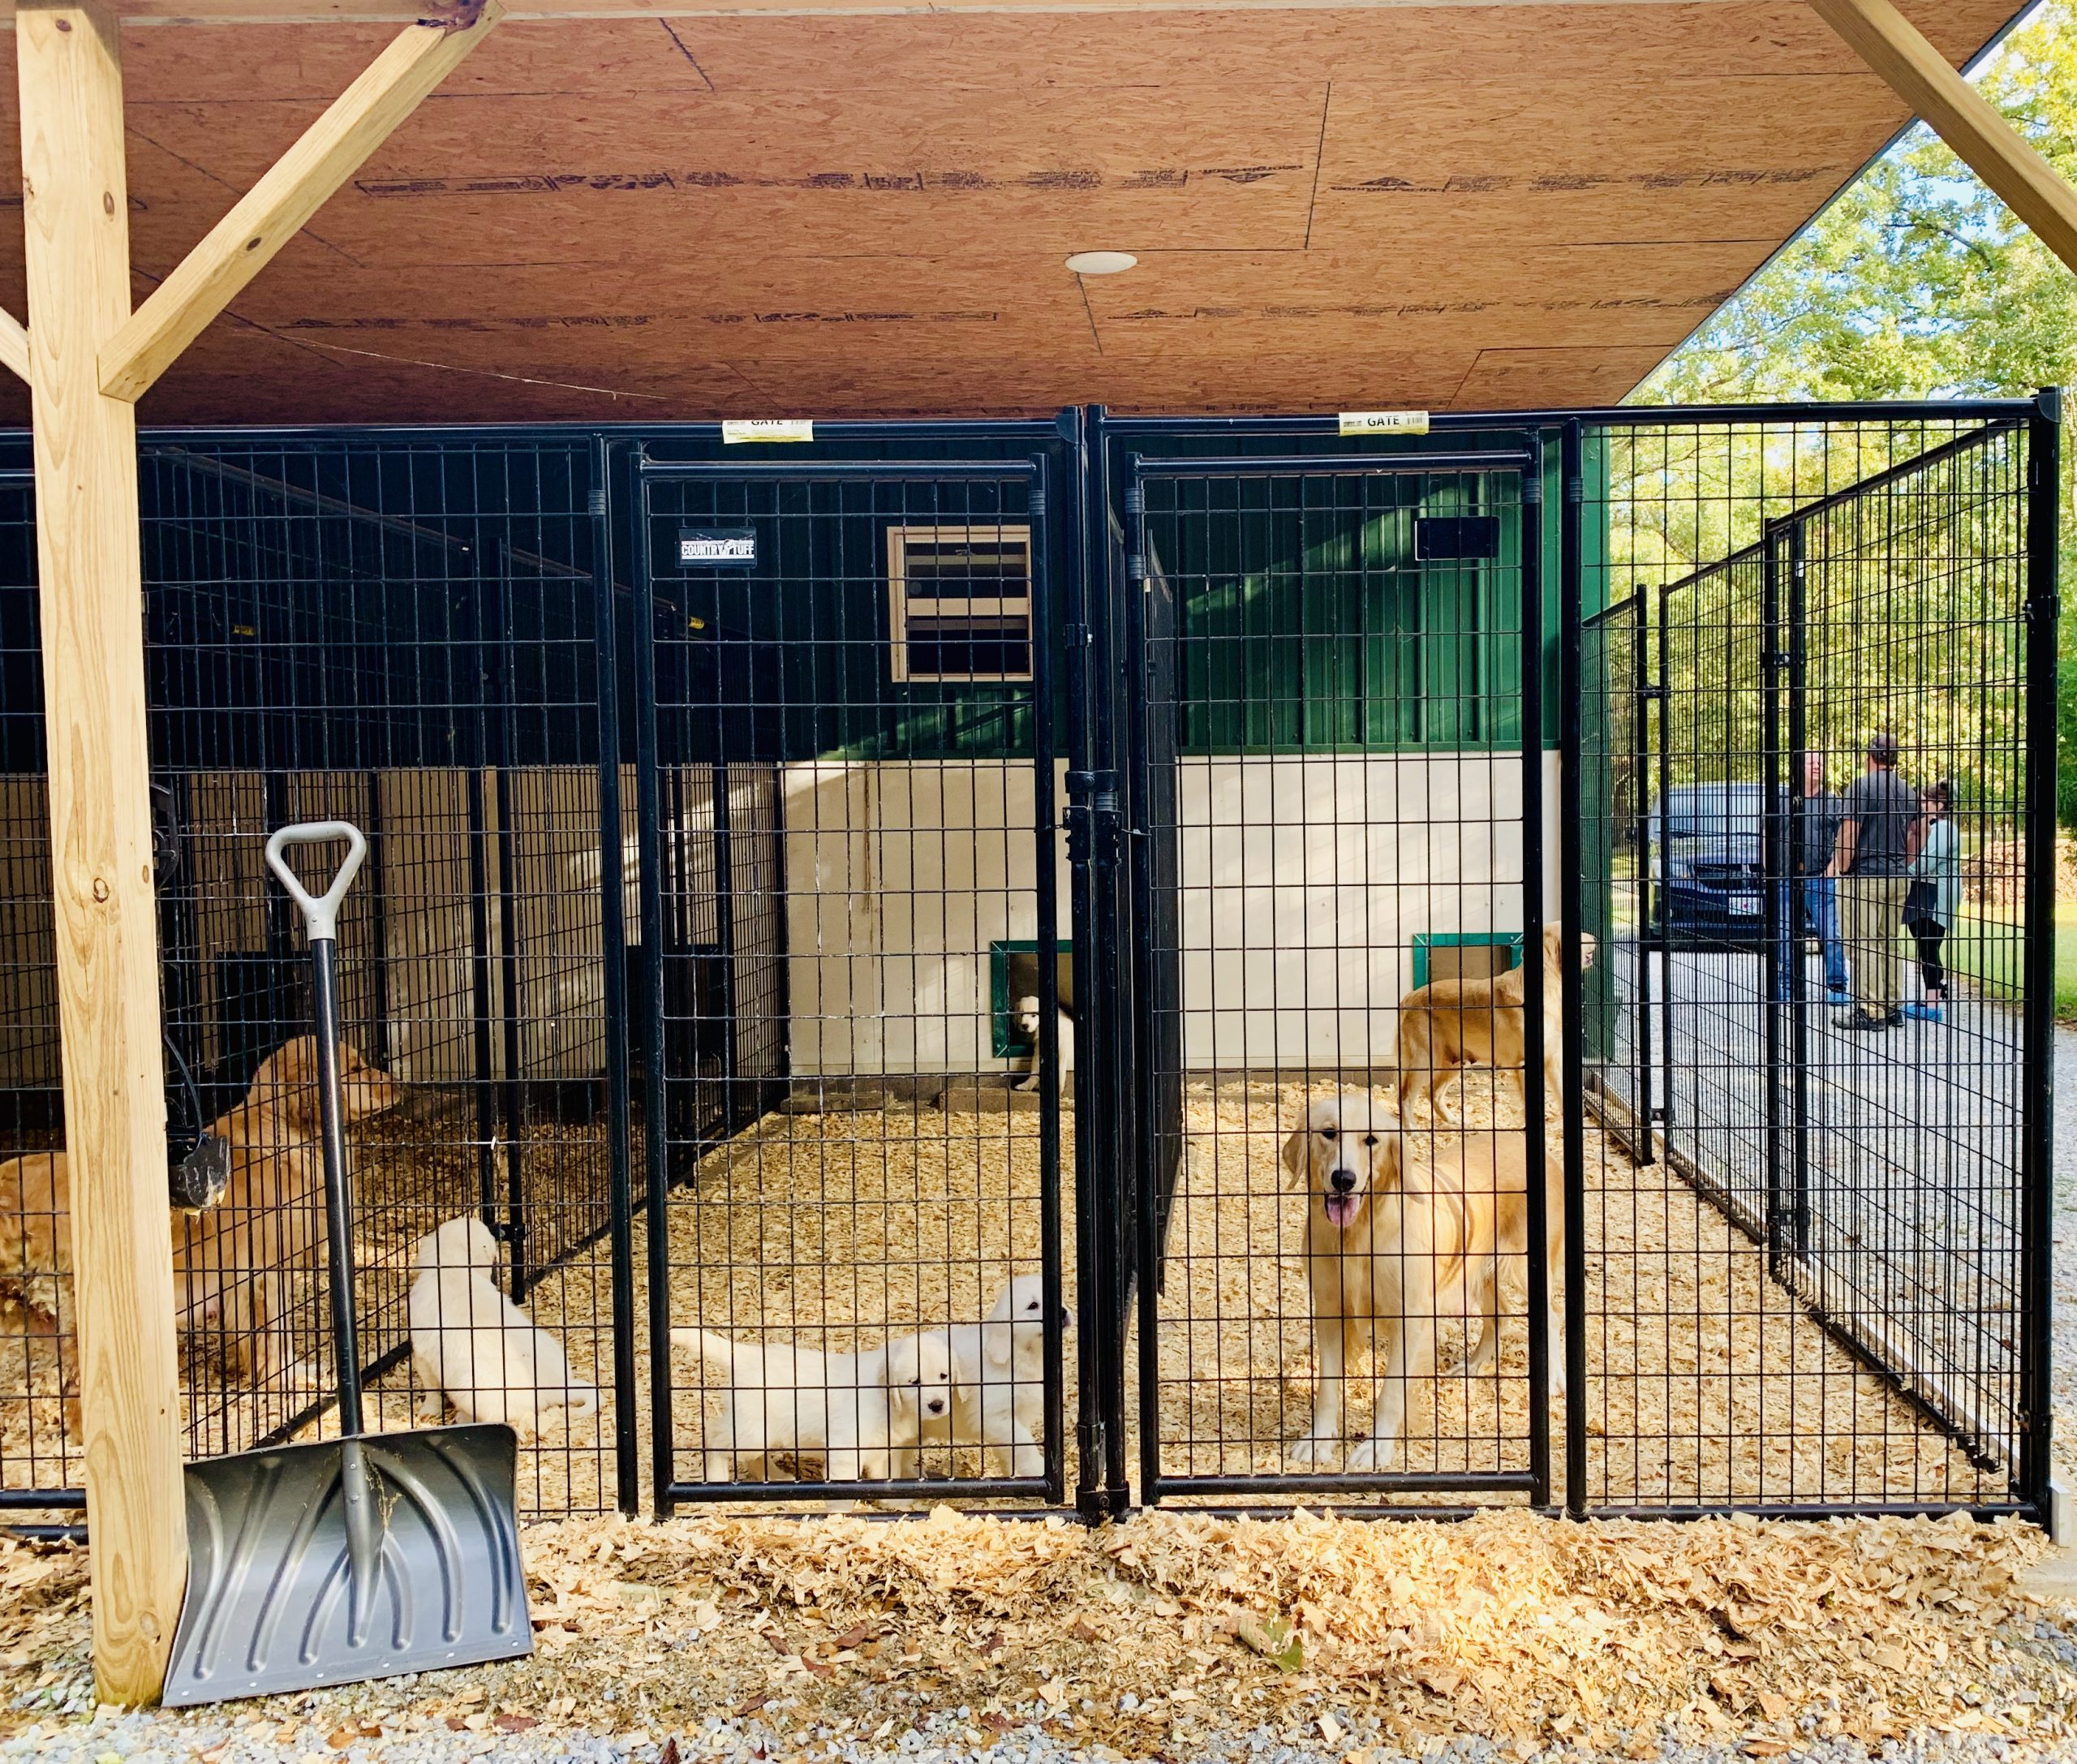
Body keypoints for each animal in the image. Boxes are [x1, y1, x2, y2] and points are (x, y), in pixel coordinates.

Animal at [406, 1221, 598, 1437]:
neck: (453, 1269)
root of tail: (557, 1388)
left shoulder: (422, 1354)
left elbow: (432, 1389)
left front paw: (427, 1411)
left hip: (473, 1389)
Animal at [669, 1313, 951, 1479]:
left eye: (943, 1376)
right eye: (914, 1382)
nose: (937, 1405)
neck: (892, 1404)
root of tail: (746, 1356)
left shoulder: (885, 1445)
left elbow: (885, 1474)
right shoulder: (847, 1445)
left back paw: (776, 1477)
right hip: (752, 1431)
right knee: (714, 1440)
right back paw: (717, 1477)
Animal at [909, 1271, 1071, 1479]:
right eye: (1033, 1305)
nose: (1064, 1312)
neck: (1017, 1355)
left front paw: (1013, 1475)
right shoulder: (994, 1416)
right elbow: (1024, 1445)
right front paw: (1037, 1469)